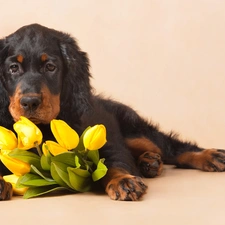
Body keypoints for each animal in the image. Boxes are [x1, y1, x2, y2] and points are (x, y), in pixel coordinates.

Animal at [0, 24, 225, 200]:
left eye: (50, 67)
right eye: (13, 68)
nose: (30, 102)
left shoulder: (102, 136)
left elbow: (112, 160)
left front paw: (122, 180)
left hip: (134, 129)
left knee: (171, 147)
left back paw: (208, 156)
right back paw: (149, 162)